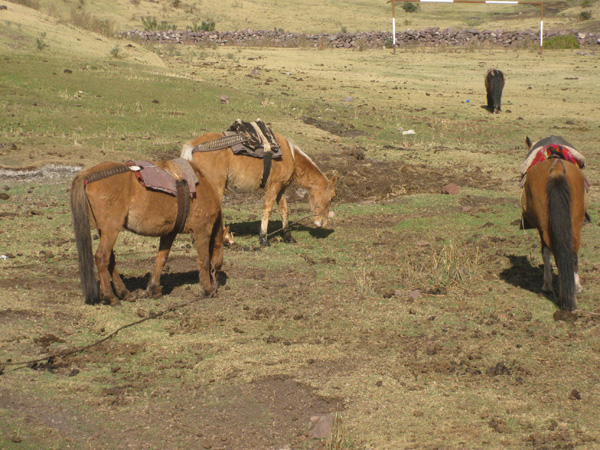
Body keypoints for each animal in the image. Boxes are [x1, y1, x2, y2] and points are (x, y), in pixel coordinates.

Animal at [71, 159, 225, 306]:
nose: (216, 283)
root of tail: (88, 175)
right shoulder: (202, 229)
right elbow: (204, 259)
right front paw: (208, 289)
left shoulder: (169, 232)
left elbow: (161, 259)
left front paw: (153, 289)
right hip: (111, 229)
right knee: (101, 258)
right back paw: (111, 297)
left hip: (104, 230)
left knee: (110, 260)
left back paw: (123, 293)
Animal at [180, 130, 336, 246]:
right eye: (332, 198)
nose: (322, 223)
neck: (289, 155)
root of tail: (194, 146)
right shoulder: (273, 187)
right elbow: (267, 210)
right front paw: (263, 239)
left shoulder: (281, 189)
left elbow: (284, 211)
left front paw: (288, 237)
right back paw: (224, 239)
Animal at [524, 142, 588, 312]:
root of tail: (557, 170)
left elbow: (545, 252)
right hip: (575, 223)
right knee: (571, 253)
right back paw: (575, 288)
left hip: (547, 226)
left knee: (553, 251)